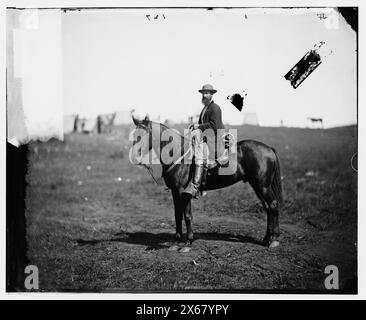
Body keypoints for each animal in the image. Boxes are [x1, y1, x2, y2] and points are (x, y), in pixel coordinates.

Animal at [132, 115, 284, 252]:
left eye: (141, 136)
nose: (134, 157)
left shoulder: (183, 193)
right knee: (267, 208)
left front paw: (188, 243)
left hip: (263, 186)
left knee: (273, 205)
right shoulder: (175, 192)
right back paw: (266, 238)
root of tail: (269, 149)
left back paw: (274, 240)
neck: (177, 154)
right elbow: (177, 215)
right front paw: (176, 242)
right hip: (257, 186)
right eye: (134, 136)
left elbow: (187, 216)